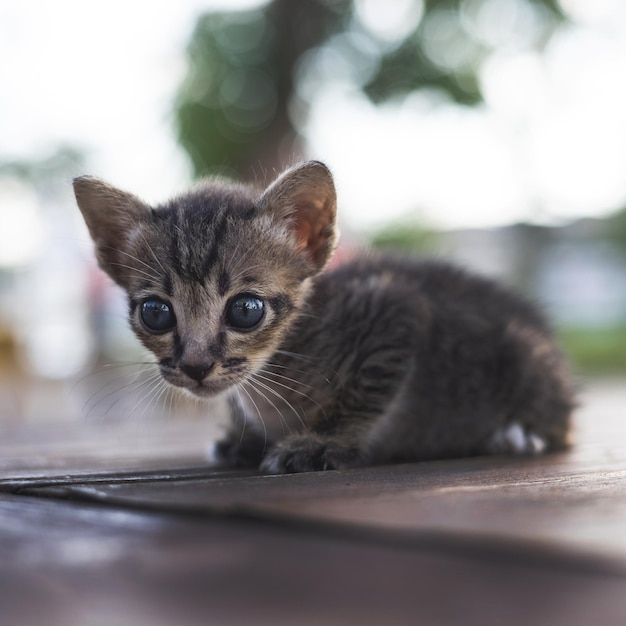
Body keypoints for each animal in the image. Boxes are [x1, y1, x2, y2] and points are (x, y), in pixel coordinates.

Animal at [72, 161, 572, 472]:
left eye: (245, 310)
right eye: (156, 312)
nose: (196, 366)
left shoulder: (395, 309)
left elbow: (365, 392)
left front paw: (322, 441)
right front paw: (244, 437)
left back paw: (517, 435)